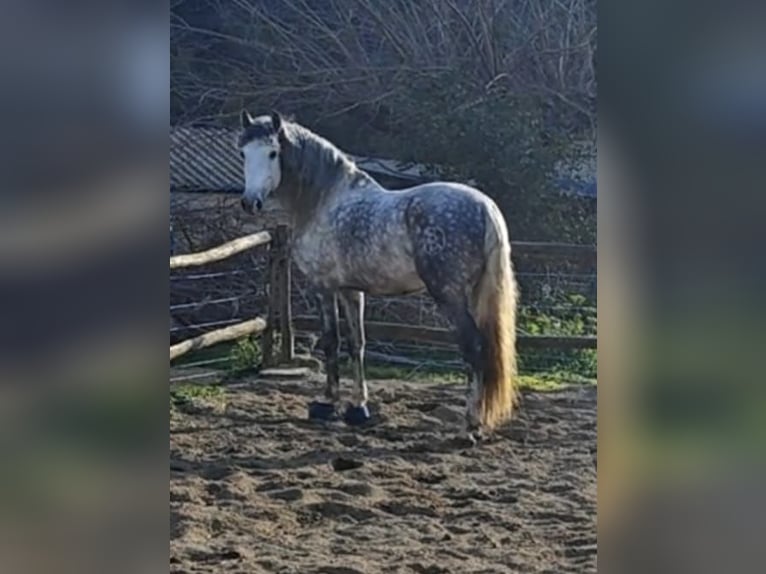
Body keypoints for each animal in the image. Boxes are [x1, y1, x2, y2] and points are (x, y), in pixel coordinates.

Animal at [237, 111, 520, 440]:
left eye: (273, 153)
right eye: (244, 153)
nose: (250, 203)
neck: (325, 199)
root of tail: (485, 208)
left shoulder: (323, 287)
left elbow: (331, 341)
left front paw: (327, 404)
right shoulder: (351, 290)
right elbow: (356, 343)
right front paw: (358, 408)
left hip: (450, 297)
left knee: (473, 347)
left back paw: (470, 425)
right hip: (474, 295)